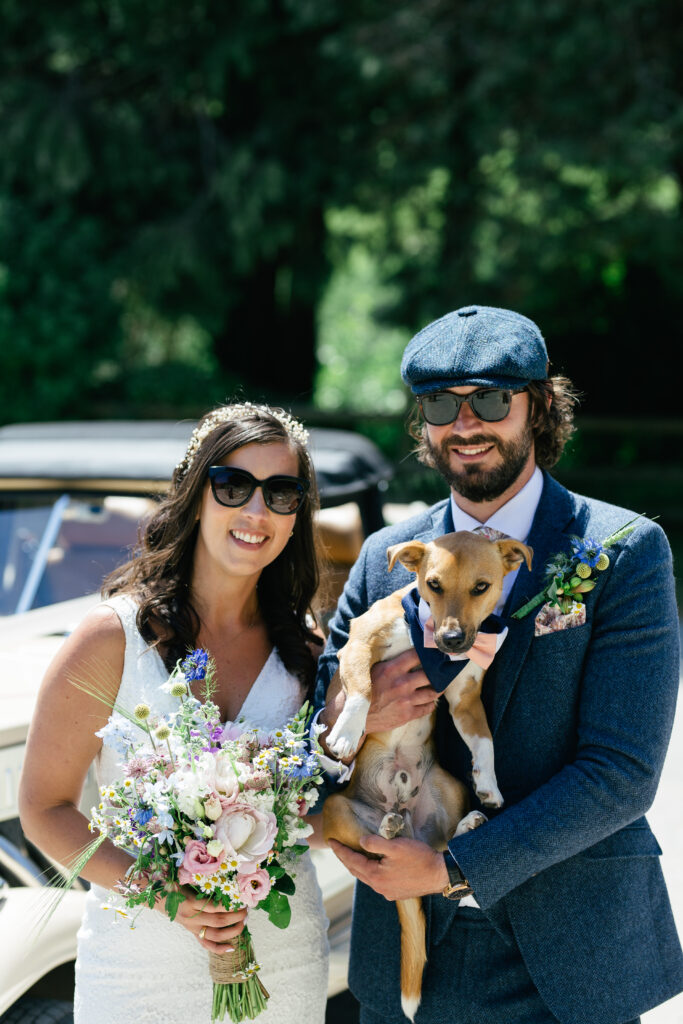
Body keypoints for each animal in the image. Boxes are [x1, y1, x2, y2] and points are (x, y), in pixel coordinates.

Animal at [321, 532, 532, 1019]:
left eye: (481, 587)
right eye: (432, 584)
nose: (453, 639)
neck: (428, 647)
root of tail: (407, 821)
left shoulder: (465, 697)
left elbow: (485, 743)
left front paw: (489, 786)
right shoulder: (357, 645)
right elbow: (363, 688)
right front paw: (346, 733)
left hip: (445, 787)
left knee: (441, 852)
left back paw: (467, 823)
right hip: (338, 810)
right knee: (373, 845)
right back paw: (387, 825)